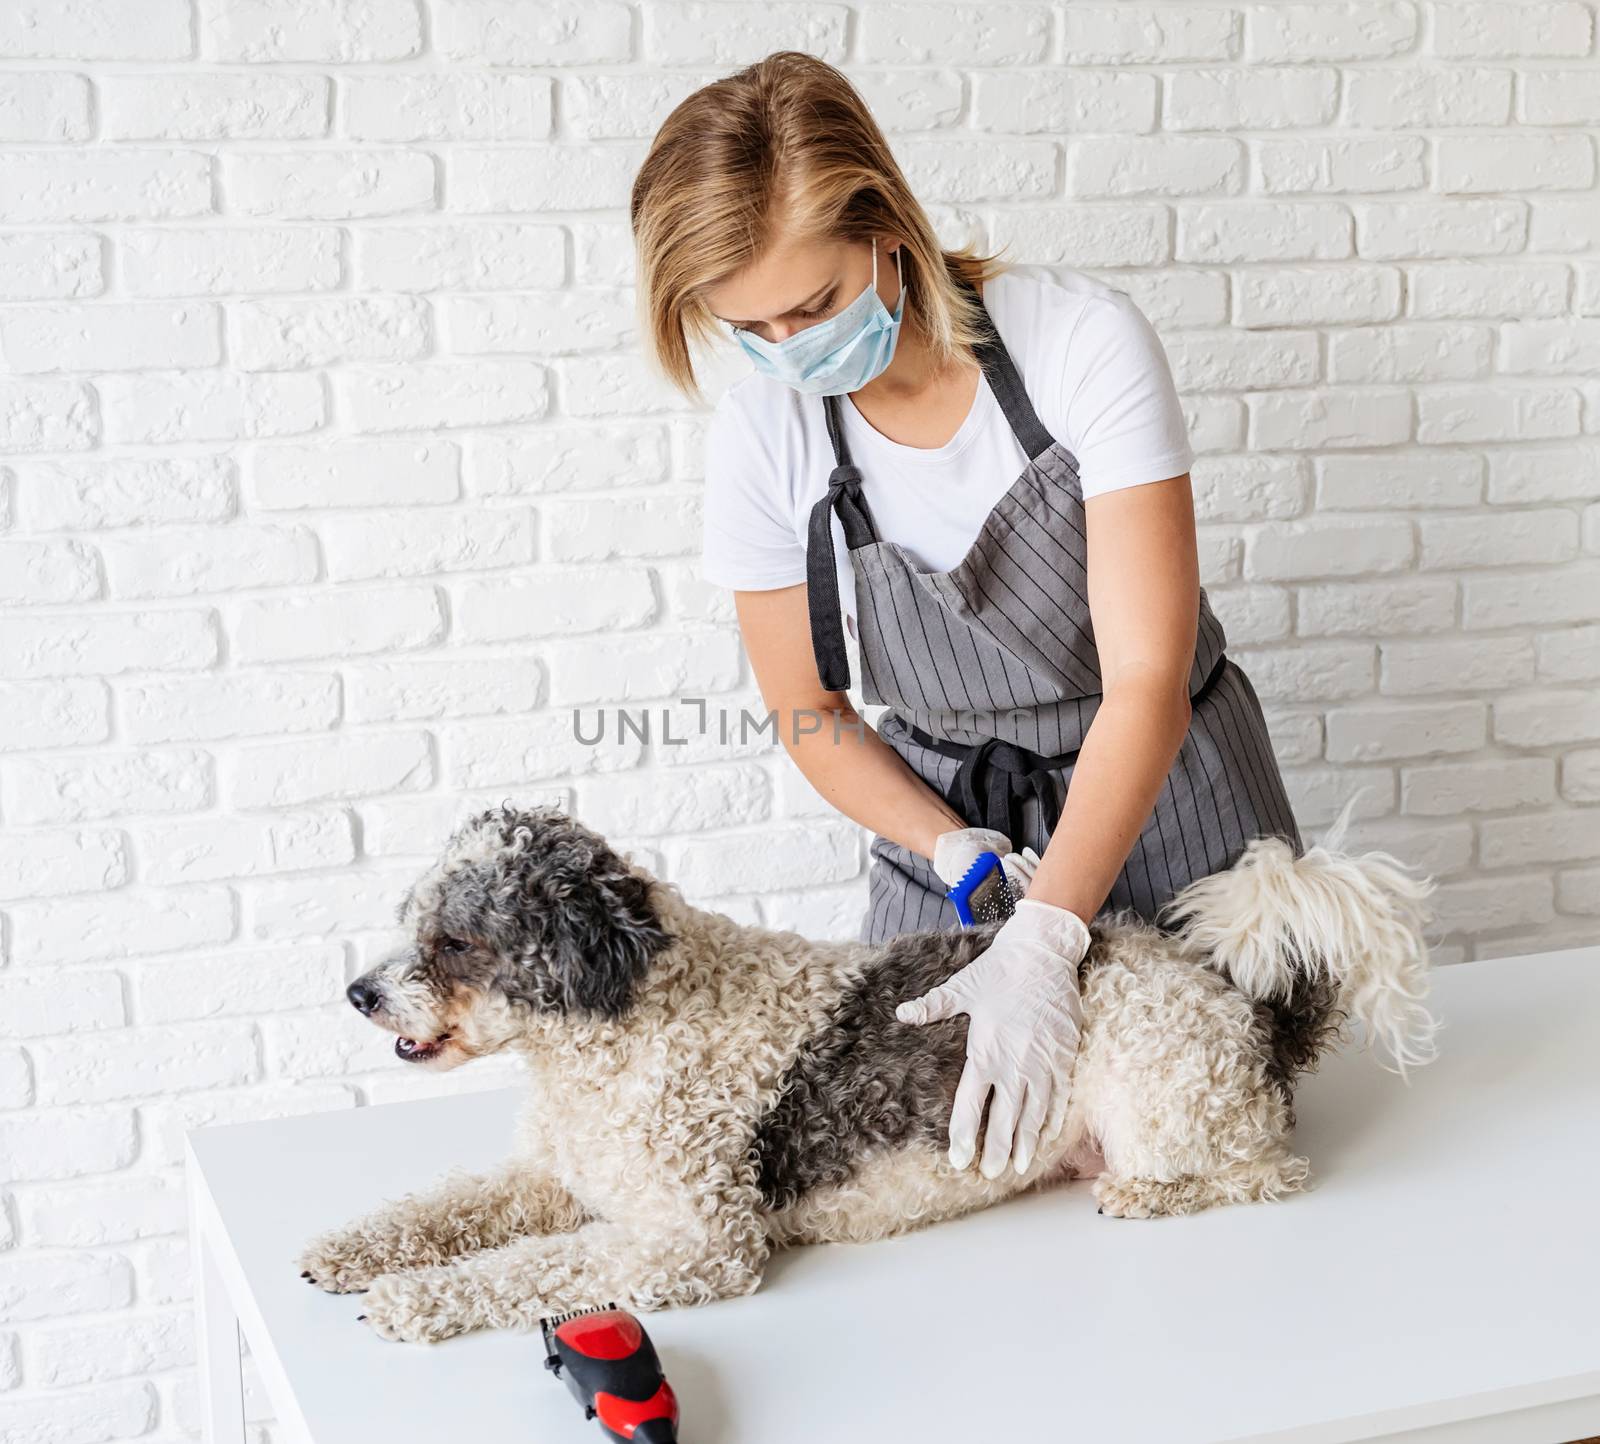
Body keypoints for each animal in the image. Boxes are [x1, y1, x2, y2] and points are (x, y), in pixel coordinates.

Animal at [297, 803, 1440, 1344]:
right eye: (411, 919)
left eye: (455, 940)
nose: (355, 992)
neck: (624, 1025)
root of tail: (1246, 1008)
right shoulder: (550, 1176)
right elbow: (443, 1207)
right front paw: (346, 1250)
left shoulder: (693, 1242)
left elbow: (525, 1270)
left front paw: (409, 1300)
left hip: (1167, 1105)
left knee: (1266, 1172)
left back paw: (1144, 1196)